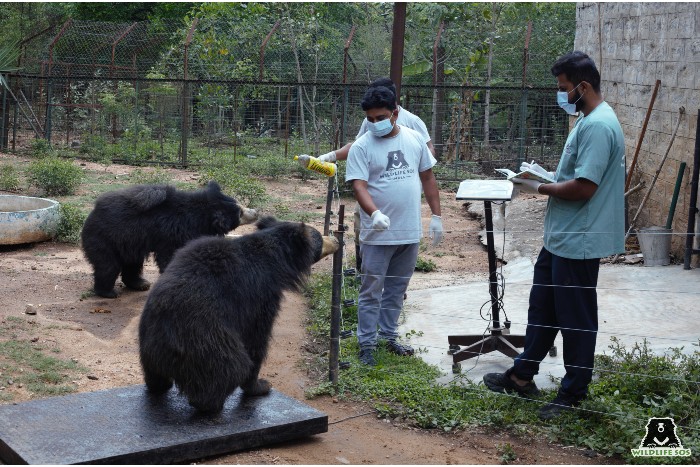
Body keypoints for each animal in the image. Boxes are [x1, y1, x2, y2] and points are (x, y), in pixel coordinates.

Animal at [81, 181, 258, 298]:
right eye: (240, 213)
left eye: (240, 205)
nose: (256, 212)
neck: (200, 216)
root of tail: (93, 213)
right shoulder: (171, 234)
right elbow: (169, 256)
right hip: (106, 238)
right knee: (107, 265)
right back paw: (108, 292)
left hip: (130, 242)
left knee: (132, 264)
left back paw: (140, 284)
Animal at [137, 216, 340, 414]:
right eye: (320, 237)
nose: (337, 240)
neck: (273, 259)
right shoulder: (260, 296)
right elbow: (256, 340)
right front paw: (261, 385)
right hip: (205, 342)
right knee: (230, 367)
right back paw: (209, 403)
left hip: (147, 345)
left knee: (154, 376)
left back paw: (159, 386)